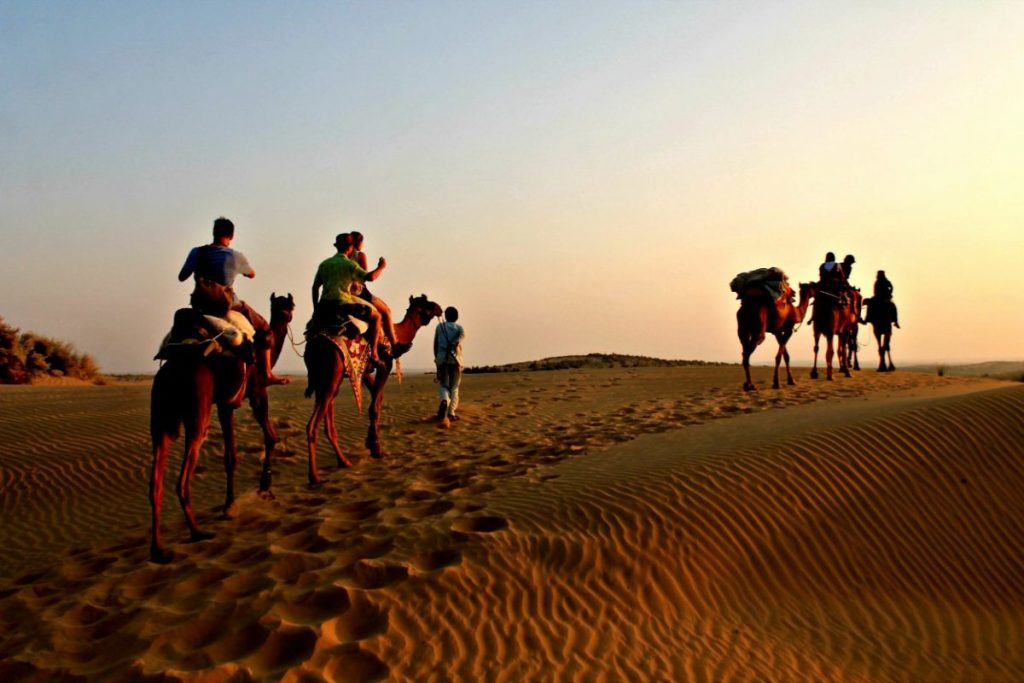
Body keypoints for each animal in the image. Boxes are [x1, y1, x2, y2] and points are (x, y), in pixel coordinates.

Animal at [148, 290, 294, 565]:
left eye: (287, 305)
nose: (285, 315)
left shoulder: (227, 405)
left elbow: (230, 457)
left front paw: (230, 505)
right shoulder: (258, 392)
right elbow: (271, 437)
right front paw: (264, 488)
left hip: (161, 419)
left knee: (155, 484)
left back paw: (158, 549)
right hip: (198, 413)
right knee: (182, 478)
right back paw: (197, 532)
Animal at [303, 294, 440, 485]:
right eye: (427, 303)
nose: (439, 308)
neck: (396, 334)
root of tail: (312, 347)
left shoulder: (366, 370)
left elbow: (377, 400)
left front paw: (370, 442)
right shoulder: (385, 364)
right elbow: (374, 407)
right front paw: (377, 449)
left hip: (324, 382)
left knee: (328, 423)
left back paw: (343, 461)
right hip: (331, 378)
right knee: (312, 425)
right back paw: (314, 476)